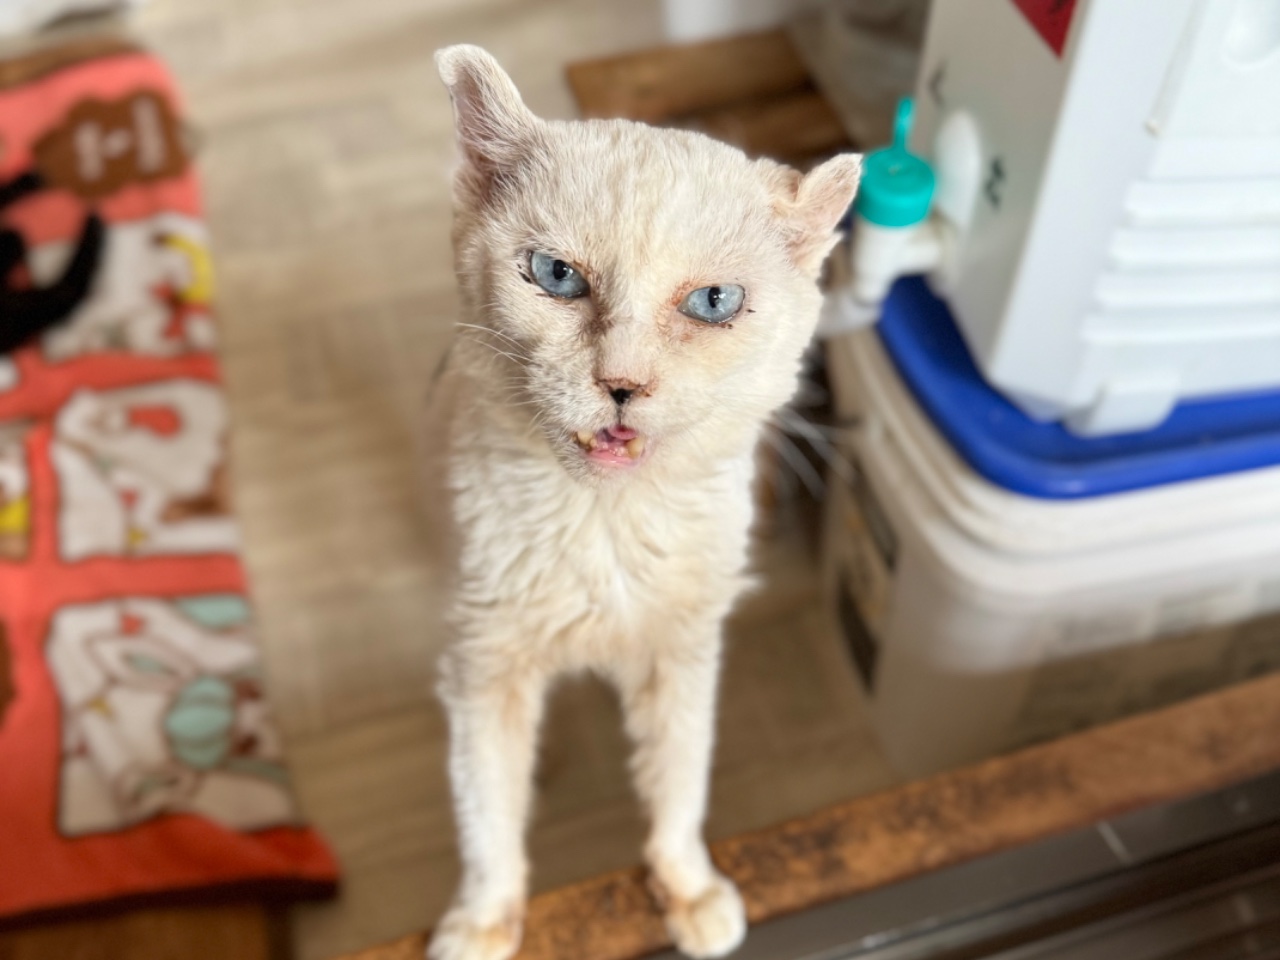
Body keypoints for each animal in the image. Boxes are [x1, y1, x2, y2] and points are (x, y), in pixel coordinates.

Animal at [427, 45, 861, 960]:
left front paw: (688, 889)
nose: (622, 383)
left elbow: (680, 777)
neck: (606, 527)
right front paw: (483, 920)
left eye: (713, 303)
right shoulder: (485, 669)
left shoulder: (684, 654)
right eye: (556, 276)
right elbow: (486, 809)